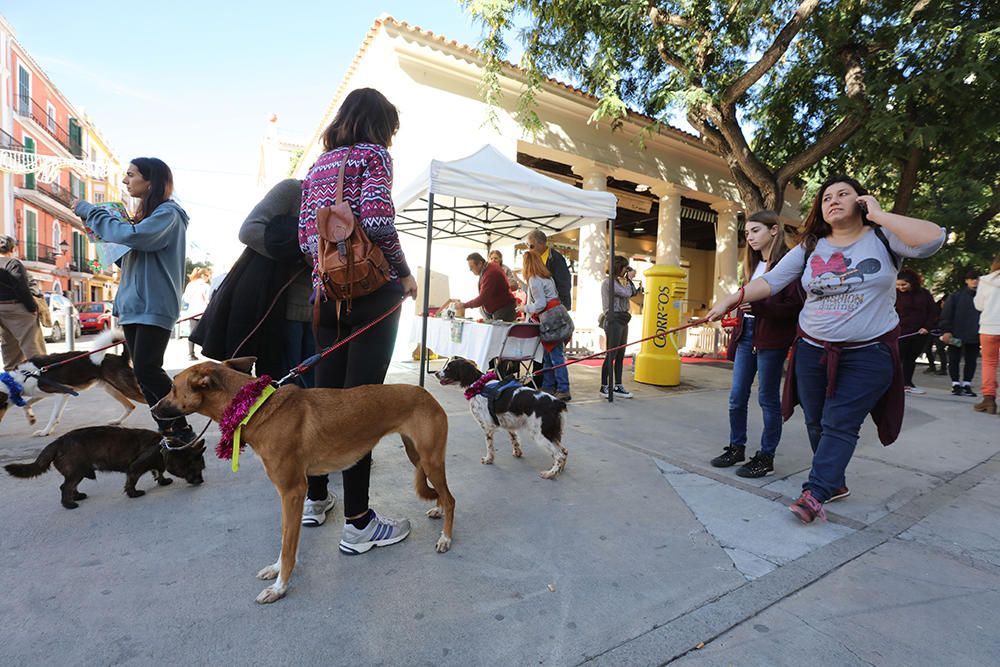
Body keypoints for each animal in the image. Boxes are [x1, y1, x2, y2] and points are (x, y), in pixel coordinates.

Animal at [2, 426, 207, 508]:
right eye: (197, 469)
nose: (201, 481)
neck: (164, 448)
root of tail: (57, 442)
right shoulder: (135, 468)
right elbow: (132, 482)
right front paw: (134, 494)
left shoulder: (157, 464)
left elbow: (159, 471)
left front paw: (163, 481)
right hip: (76, 471)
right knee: (65, 487)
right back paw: (69, 504)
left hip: (79, 472)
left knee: (69, 486)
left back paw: (77, 496)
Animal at [150, 360, 456, 604]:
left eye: (173, 387)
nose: (152, 409)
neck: (254, 407)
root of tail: (425, 392)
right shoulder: (288, 496)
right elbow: (284, 539)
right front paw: (275, 571)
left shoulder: (292, 492)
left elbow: (288, 546)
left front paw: (279, 588)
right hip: (417, 457)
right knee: (442, 494)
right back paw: (438, 510)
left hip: (429, 459)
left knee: (451, 498)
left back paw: (446, 537)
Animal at [434, 358, 568, 478]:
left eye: (449, 368)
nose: (435, 373)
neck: (478, 385)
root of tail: (557, 403)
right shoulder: (509, 424)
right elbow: (514, 439)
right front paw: (517, 453)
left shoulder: (487, 426)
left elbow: (489, 446)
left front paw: (488, 459)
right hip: (552, 433)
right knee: (564, 451)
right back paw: (559, 470)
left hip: (540, 434)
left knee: (560, 455)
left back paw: (550, 473)